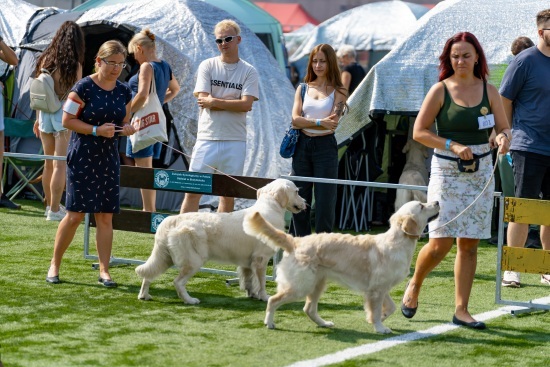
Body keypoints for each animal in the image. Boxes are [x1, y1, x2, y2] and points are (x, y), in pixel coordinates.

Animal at [136, 179, 308, 304]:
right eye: (297, 191)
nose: (306, 202)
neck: (270, 208)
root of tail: (172, 219)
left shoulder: (248, 261)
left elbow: (249, 280)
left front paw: (251, 294)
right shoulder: (261, 259)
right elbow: (261, 282)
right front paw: (264, 297)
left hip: (164, 257)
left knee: (148, 274)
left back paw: (144, 296)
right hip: (193, 260)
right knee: (177, 282)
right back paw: (190, 300)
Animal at [244, 200, 442, 334]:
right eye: (422, 206)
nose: (437, 202)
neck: (397, 242)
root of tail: (295, 240)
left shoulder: (381, 288)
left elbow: (391, 307)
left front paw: (378, 318)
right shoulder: (376, 291)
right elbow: (376, 310)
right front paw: (379, 327)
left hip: (318, 284)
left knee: (308, 309)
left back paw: (324, 323)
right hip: (300, 286)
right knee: (273, 300)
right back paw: (269, 322)